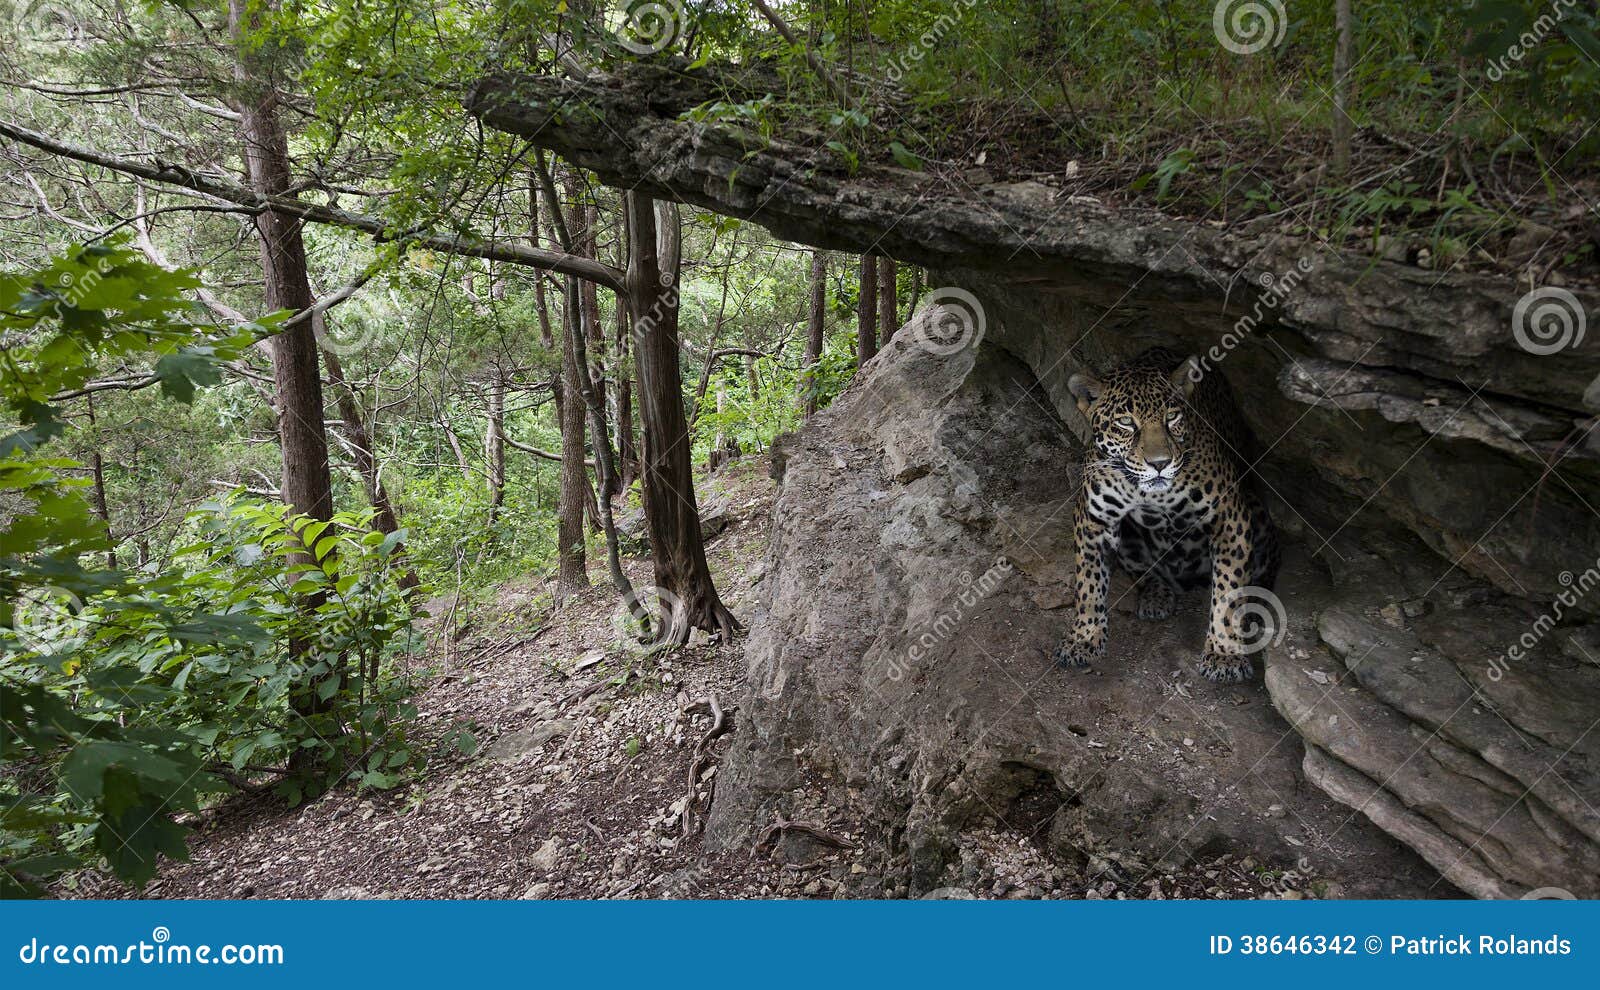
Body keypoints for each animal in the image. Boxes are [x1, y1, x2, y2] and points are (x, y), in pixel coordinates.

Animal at [1050, 348, 1280, 683]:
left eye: (1172, 417)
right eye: (1125, 422)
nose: (1159, 463)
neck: (1151, 494)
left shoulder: (1231, 518)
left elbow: (1228, 589)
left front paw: (1224, 654)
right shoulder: (1093, 519)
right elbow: (1088, 584)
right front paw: (1084, 638)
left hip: (1257, 513)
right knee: (1148, 572)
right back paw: (1156, 596)